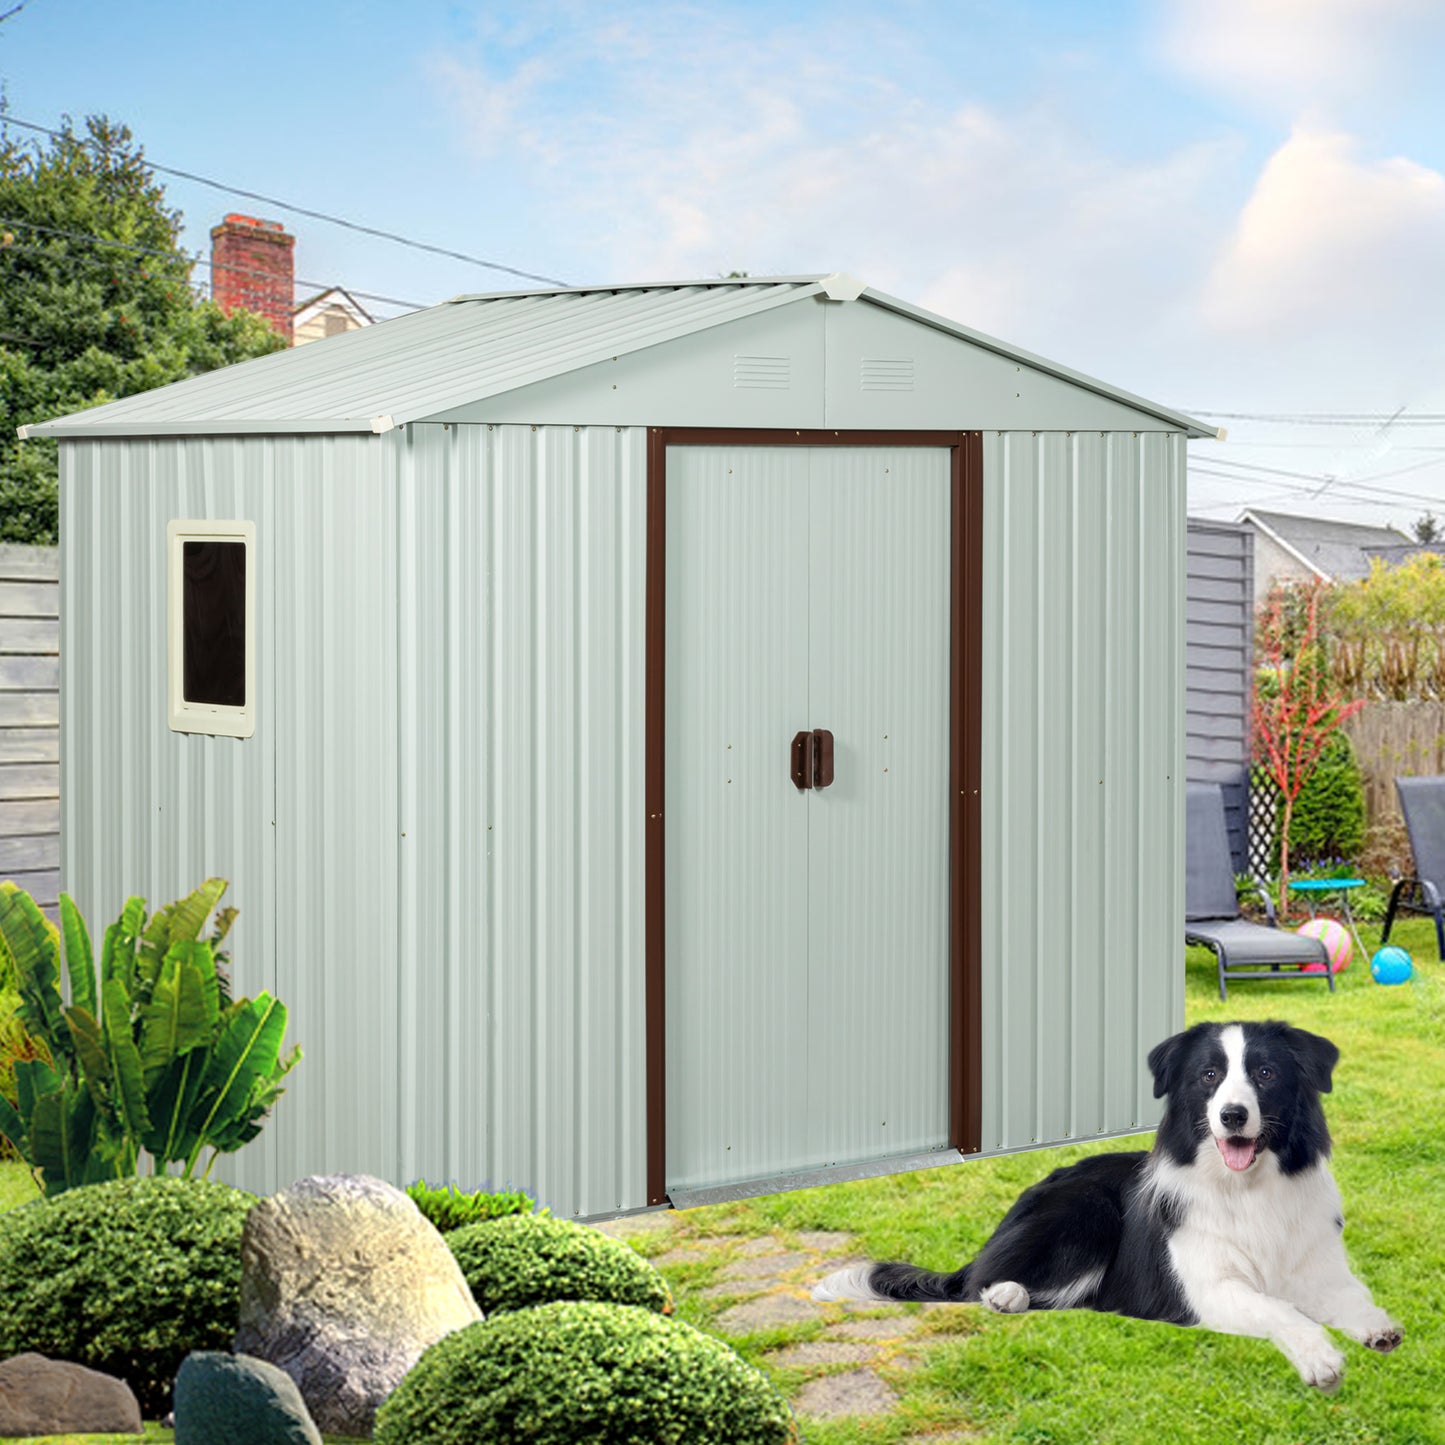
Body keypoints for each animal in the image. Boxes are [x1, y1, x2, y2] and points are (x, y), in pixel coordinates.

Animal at [820, 1017, 1404, 1387]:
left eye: (1266, 1073)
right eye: (1209, 1076)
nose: (1233, 1116)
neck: (1250, 1189)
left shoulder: (1318, 1268)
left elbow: (1350, 1296)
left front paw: (1377, 1326)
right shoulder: (1211, 1289)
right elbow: (1281, 1309)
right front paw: (1321, 1358)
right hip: (1086, 1209)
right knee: (974, 1286)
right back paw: (1005, 1294)